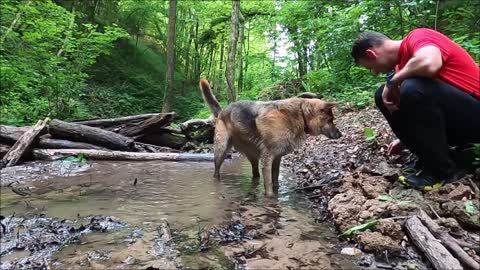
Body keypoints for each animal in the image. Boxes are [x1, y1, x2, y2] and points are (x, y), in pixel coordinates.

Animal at [199, 78, 342, 196]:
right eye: (330, 120)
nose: (341, 135)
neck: (300, 115)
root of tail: (222, 111)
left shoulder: (277, 158)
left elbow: (275, 180)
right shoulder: (268, 157)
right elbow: (268, 184)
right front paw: (271, 197)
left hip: (253, 156)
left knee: (255, 174)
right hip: (221, 150)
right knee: (216, 171)